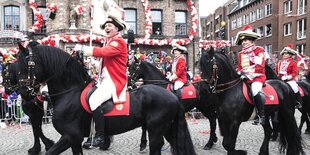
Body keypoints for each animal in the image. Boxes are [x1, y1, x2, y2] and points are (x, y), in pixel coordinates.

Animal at [15, 43, 196, 155]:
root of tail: (173, 96)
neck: (69, 93)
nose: (23, 91)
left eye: (27, 64)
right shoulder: (74, 140)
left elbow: (50, 150)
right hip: (167, 130)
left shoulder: (70, 136)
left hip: (157, 131)